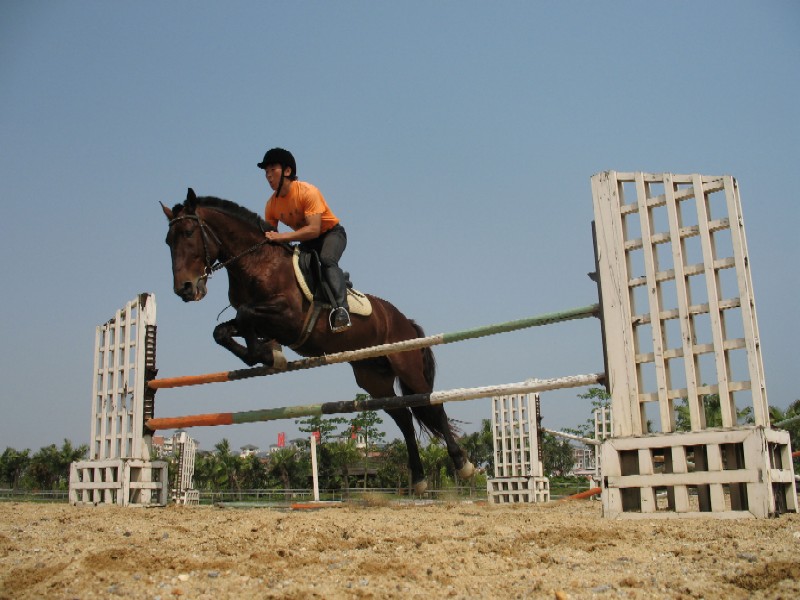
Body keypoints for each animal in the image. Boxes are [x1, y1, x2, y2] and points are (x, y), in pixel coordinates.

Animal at [162, 188, 476, 492]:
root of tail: (404, 320)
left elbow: (245, 313)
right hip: (374, 378)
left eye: (188, 233)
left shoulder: (287, 317)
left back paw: (463, 464)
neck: (257, 263)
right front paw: (267, 353)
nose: (185, 289)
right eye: (168, 241)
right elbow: (224, 330)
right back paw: (420, 478)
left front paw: (267, 352)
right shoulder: (265, 322)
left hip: (406, 365)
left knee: (432, 405)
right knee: (404, 418)